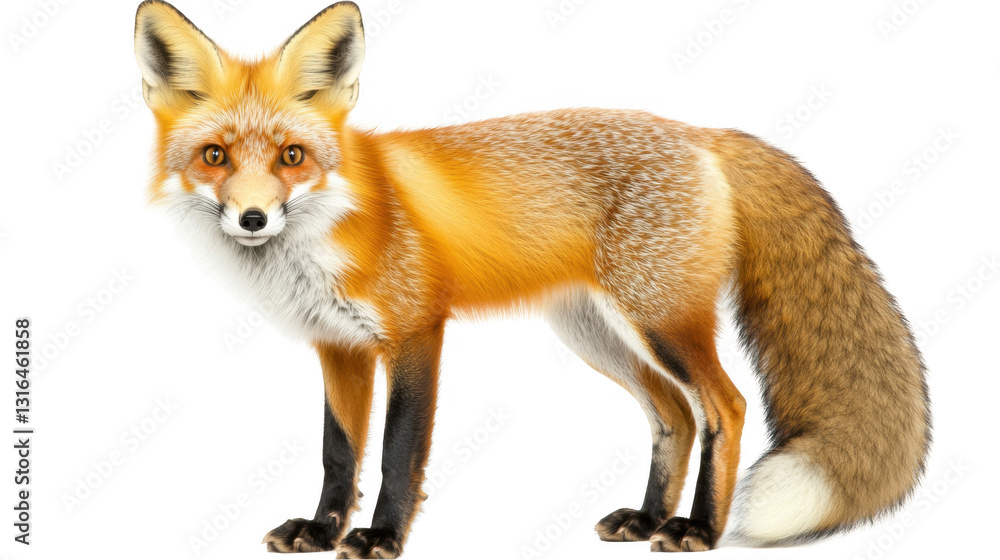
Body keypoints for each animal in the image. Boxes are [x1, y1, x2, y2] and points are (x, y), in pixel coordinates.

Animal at [134, 1, 930, 557]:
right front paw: (322, 532)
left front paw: (381, 539)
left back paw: (698, 530)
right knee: (674, 411)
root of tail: (702, 134)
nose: (253, 218)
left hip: (662, 320)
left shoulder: (417, 331)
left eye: (292, 156)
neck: (331, 226)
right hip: (596, 334)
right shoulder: (340, 348)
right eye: (214, 156)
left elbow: (395, 453)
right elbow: (338, 455)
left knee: (725, 407)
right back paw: (648, 518)